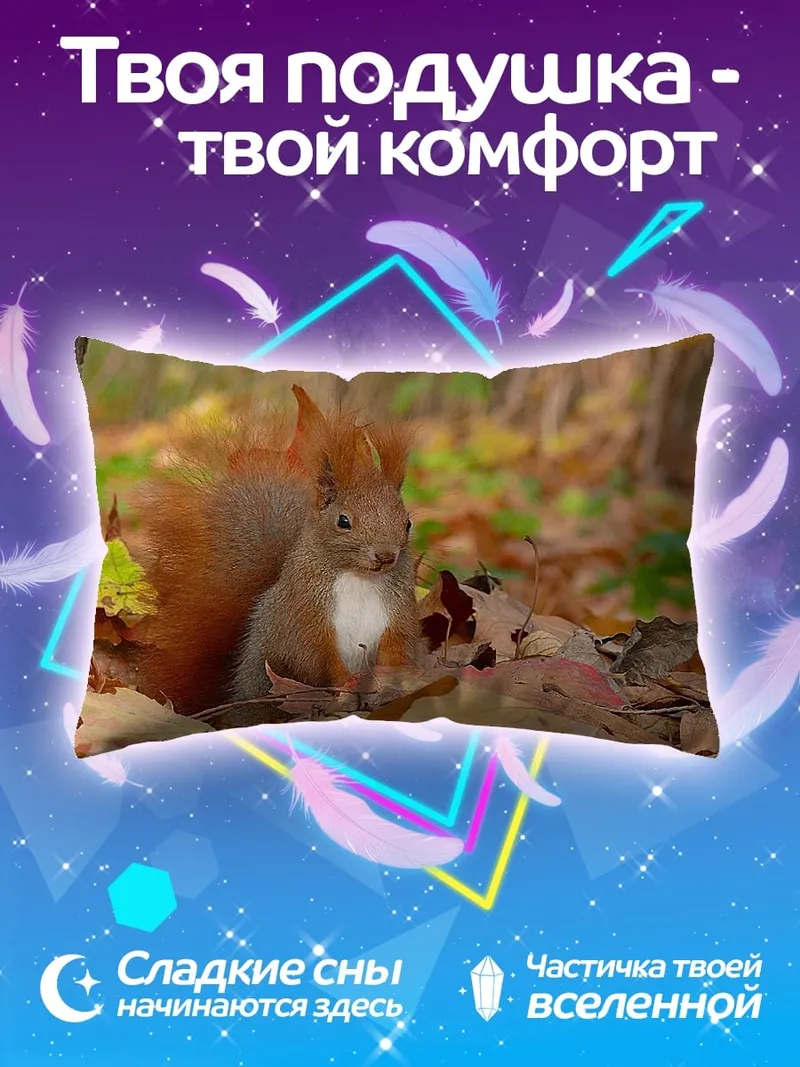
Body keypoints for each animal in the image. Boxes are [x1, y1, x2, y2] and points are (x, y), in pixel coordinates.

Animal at [134, 385, 423, 717]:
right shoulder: (304, 614)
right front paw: (345, 685)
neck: (358, 577)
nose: (386, 556)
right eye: (343, 521)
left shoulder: (398, 612)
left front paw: (392, 681)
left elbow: (399, 646)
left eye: (407, 523)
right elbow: (315, 655)